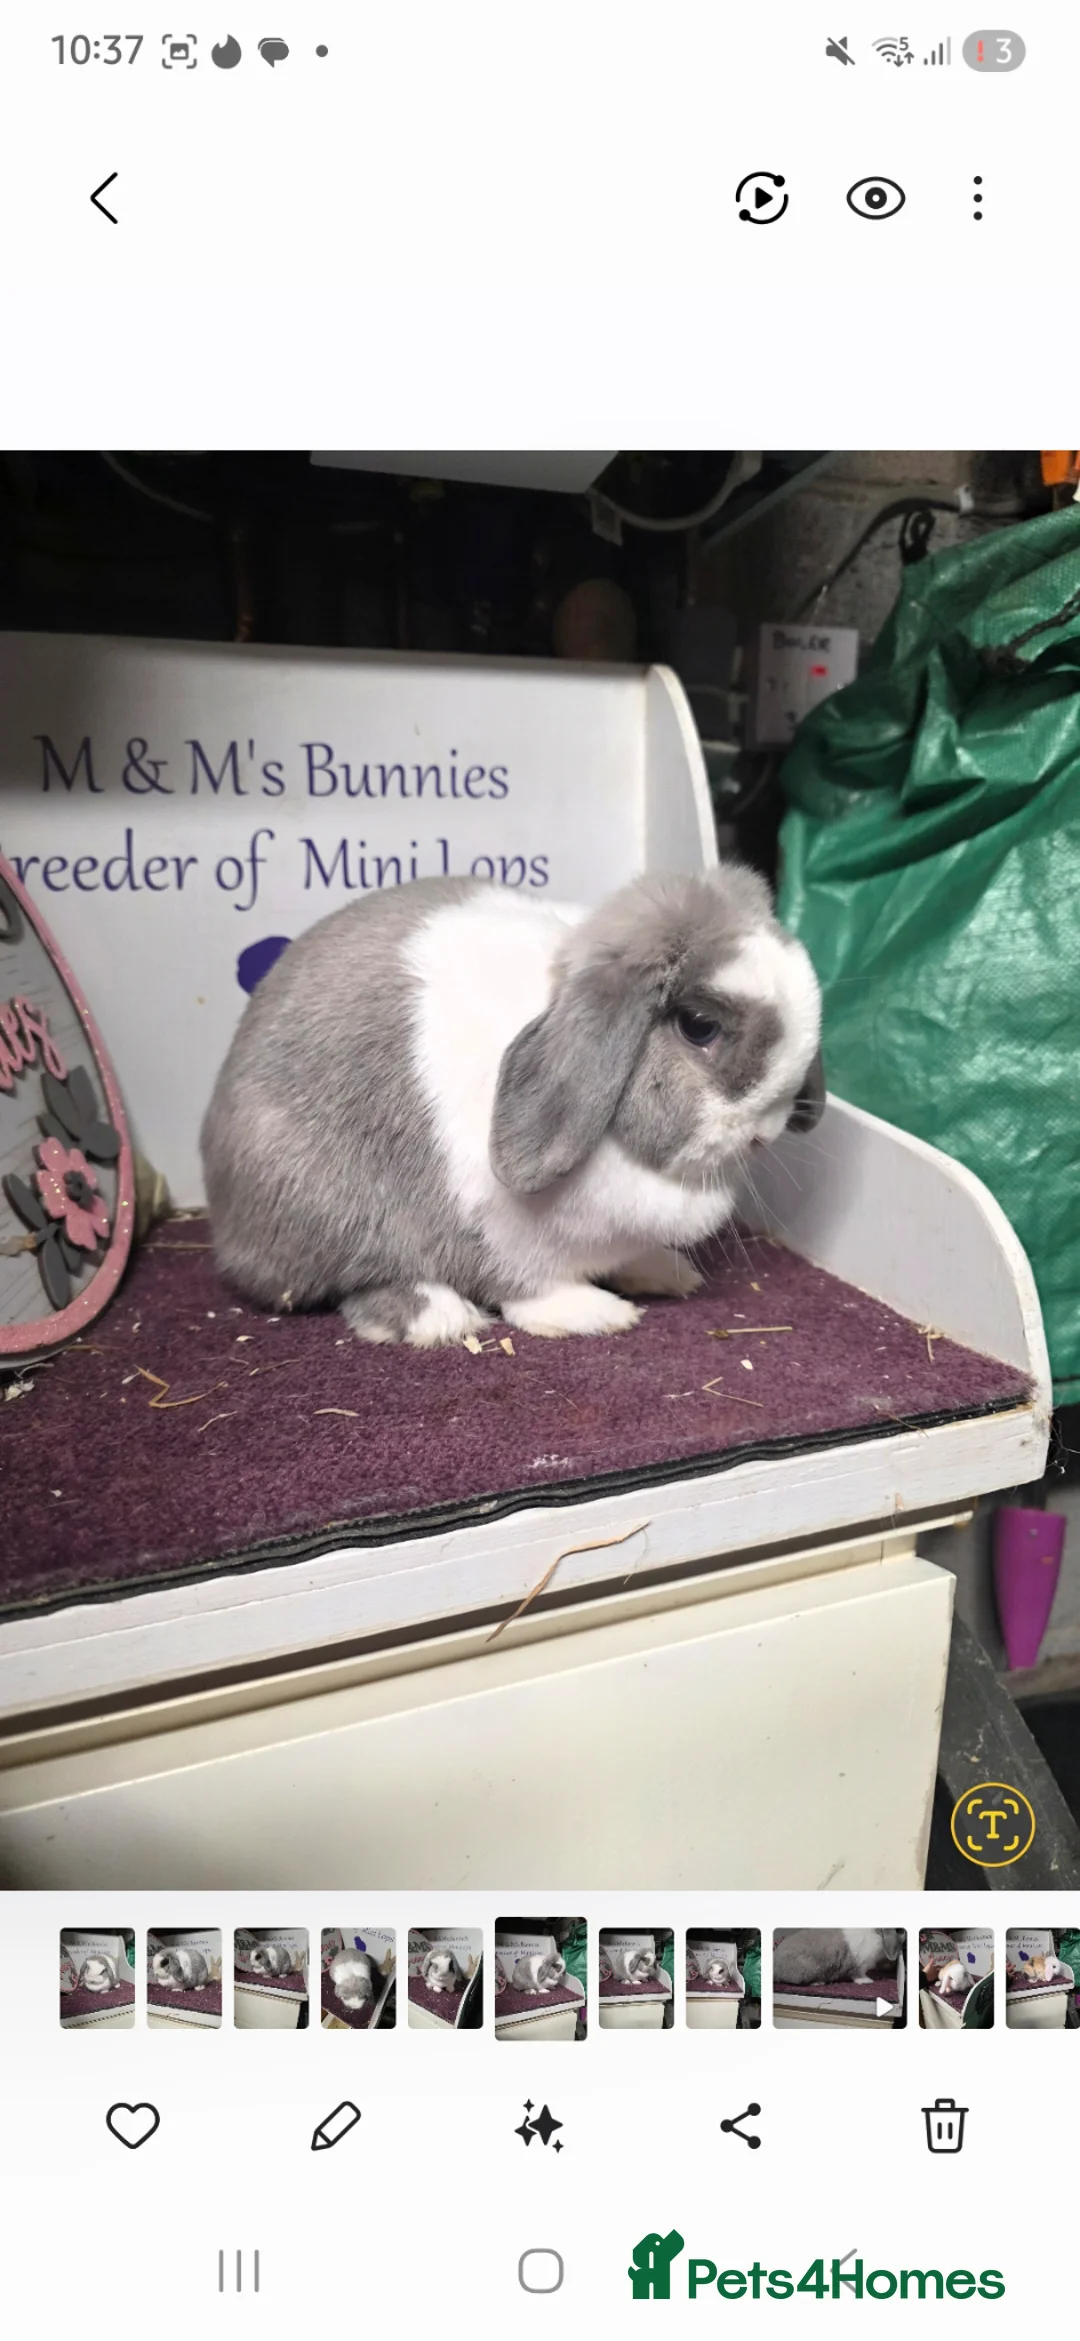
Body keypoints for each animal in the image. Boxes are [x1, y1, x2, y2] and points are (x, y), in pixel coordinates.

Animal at [201, 868, 823, 1347]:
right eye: (699, 1026)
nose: (765, 1134)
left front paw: (661, 1269)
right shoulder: (503, 1236)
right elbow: (530, 1288)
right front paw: (595, 1313)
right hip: (317, 1202)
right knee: (350, 1281)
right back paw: (439, 1318)